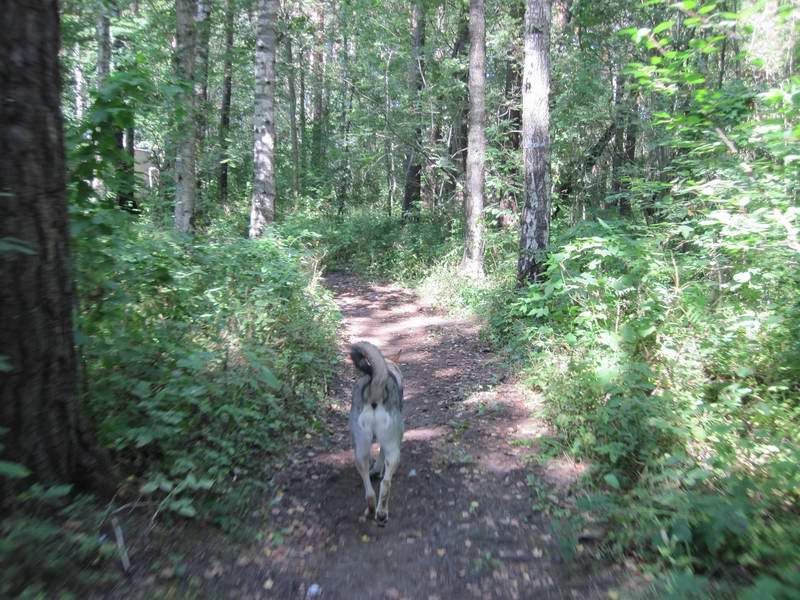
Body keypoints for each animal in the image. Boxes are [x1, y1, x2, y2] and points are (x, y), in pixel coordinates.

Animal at [348, 342, 404, 524]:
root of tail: (376, 384)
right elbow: (381, 454)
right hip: (394, 451)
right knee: (386, 483)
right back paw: (382, 513)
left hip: (360, 452)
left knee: (370, 491)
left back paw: (371, 508)